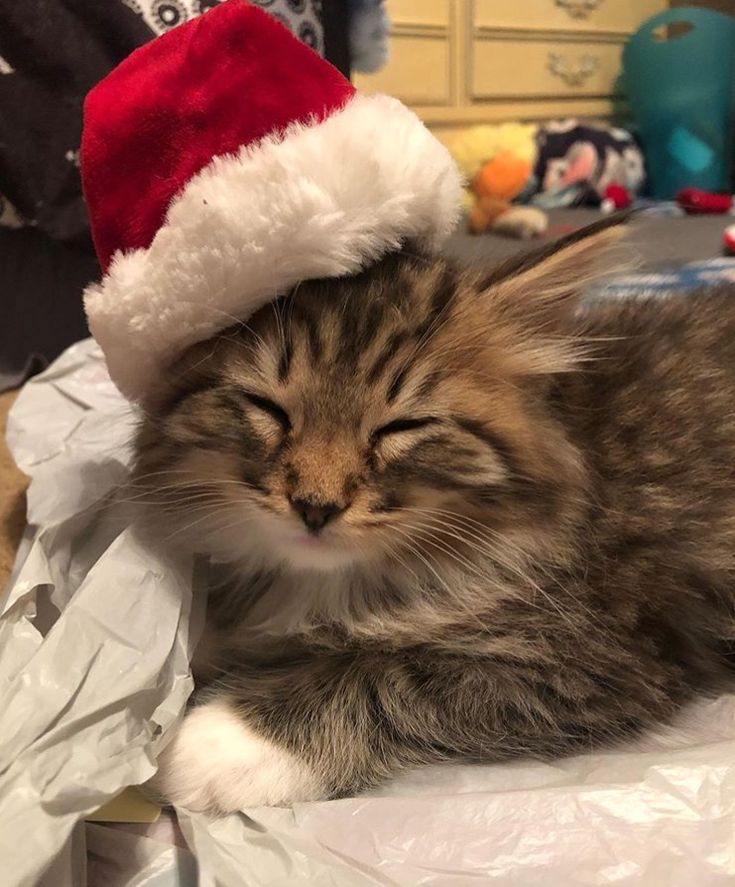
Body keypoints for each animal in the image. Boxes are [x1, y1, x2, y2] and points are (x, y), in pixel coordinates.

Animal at [129, 219, 735, 816]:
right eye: (268, 408)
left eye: (402, 427)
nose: (316, 506)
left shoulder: (588, 657)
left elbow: (388, 675)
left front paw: (225, 742)